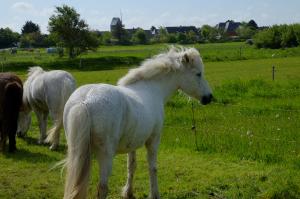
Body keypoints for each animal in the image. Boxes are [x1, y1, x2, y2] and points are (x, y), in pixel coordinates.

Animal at [63, 47, 213, 199]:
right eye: (198, 74)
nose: (209, 97)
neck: (153, 89)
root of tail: (85, 101)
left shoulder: (132, 143)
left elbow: (131, 166)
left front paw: (128, 192)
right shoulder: (153, 140)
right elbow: (152, 168)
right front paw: (154, 194)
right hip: (105, 155)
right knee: (103, 188)